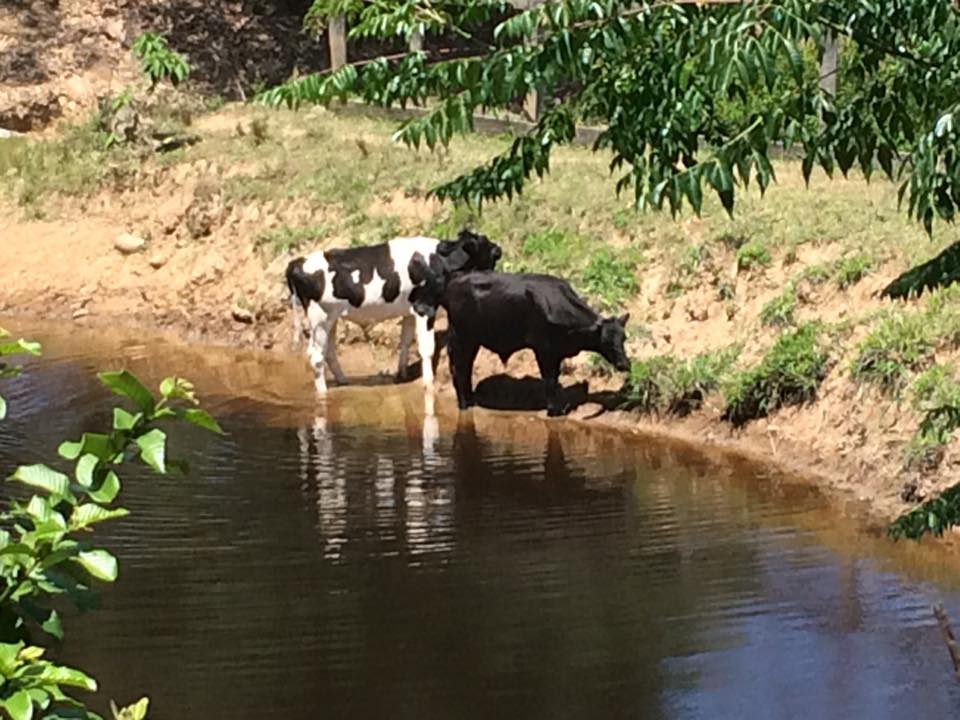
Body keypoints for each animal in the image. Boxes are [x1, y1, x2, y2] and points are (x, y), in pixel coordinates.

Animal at [286, 229, 502, 394]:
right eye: (484, 243)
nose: (499, 249)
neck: (438, 261)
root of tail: (297, 262)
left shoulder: (409, 311)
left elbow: (405, 341)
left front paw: (402, 374)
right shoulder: (425, 308)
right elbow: (427, 348)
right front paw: (429, 383)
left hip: (331, 318)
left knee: (328, 351)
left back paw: (342, 380)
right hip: (319, 318)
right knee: (315, 355)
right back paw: (323, 393)